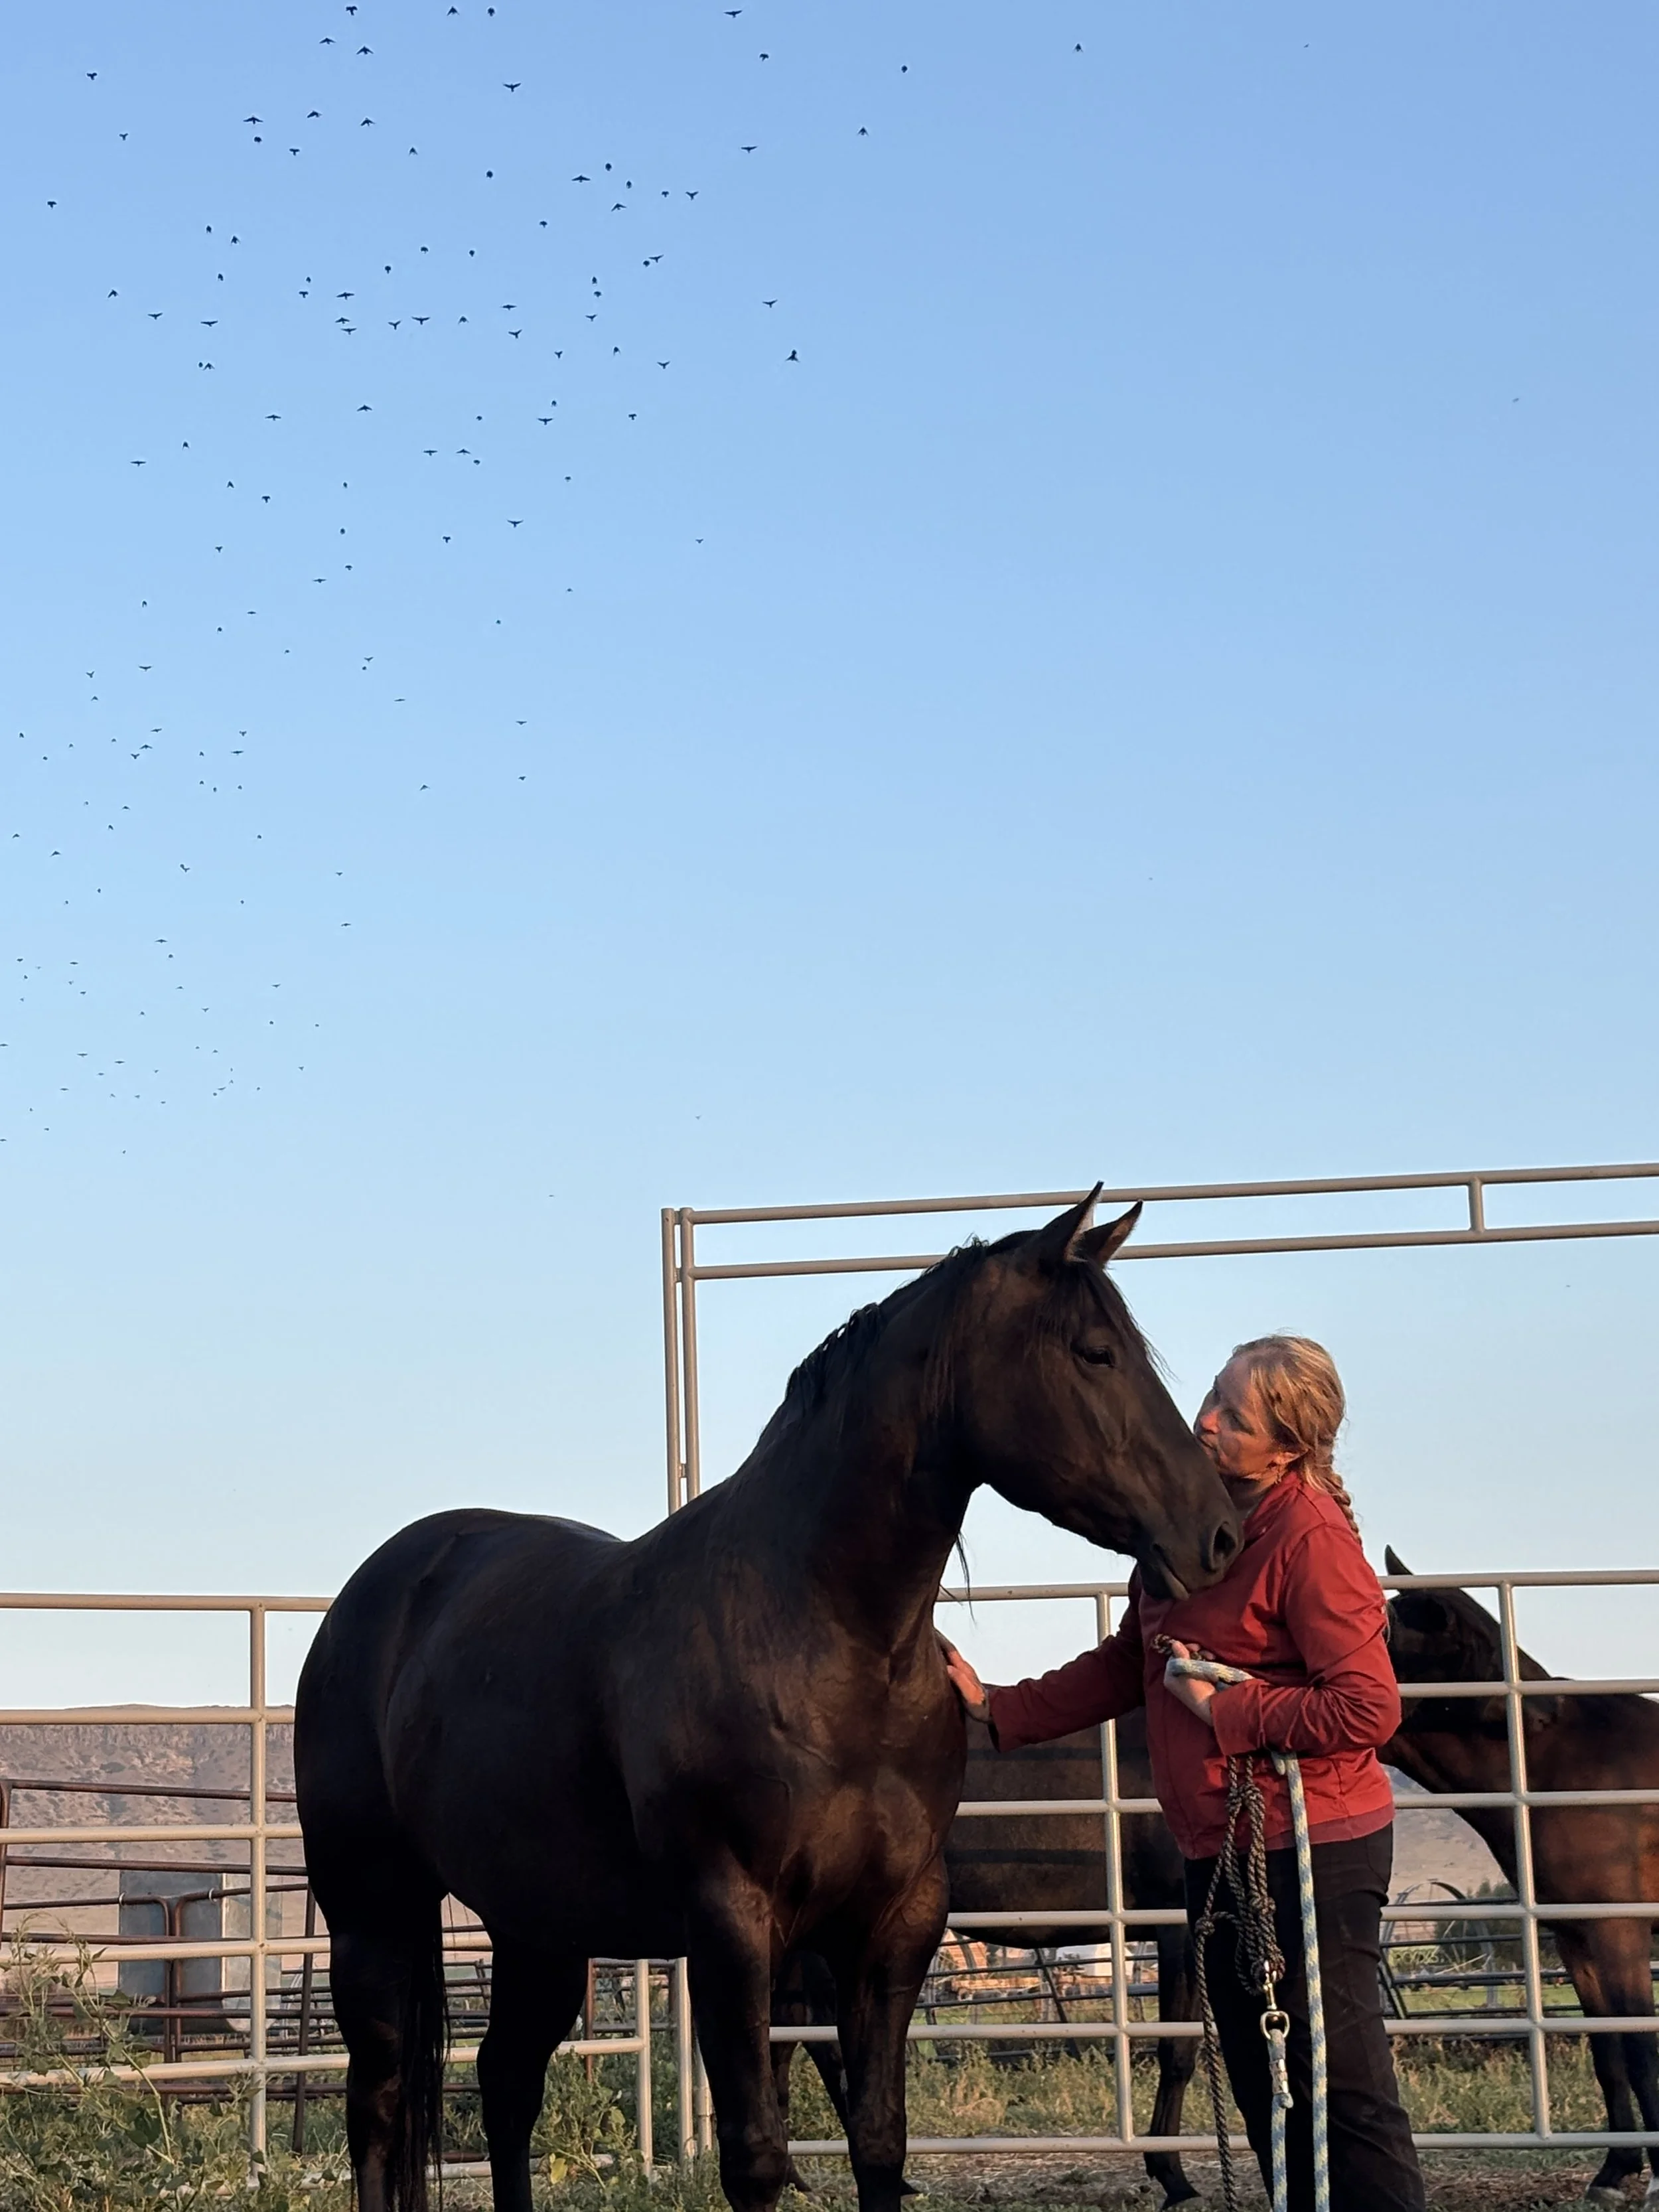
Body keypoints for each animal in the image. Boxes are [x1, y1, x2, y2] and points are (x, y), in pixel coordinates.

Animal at [1383, 1550, 1659, 2207]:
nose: (1543, 1710)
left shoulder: (1620, 1929)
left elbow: (1641, 2048)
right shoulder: (1577, 1937)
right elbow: (1609, 2050)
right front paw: (1615, 2170)